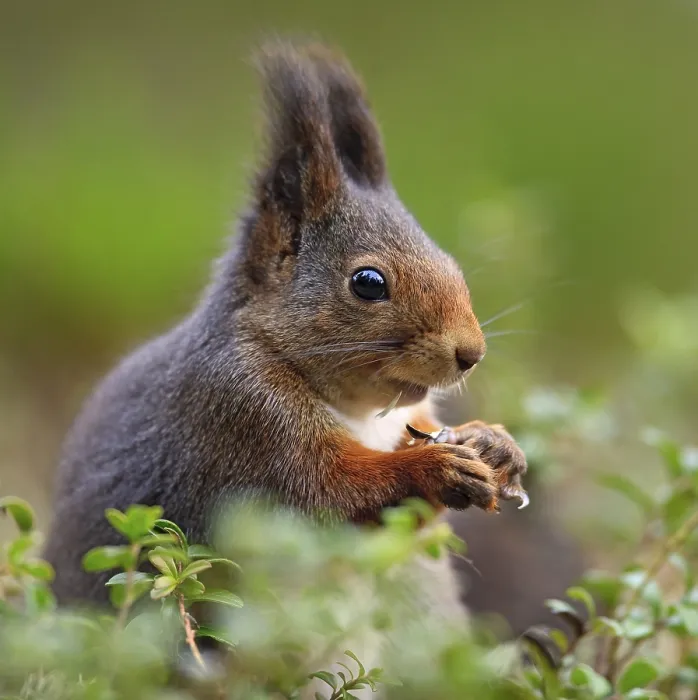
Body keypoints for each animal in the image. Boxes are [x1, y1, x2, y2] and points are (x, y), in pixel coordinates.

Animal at [44, 42, 528, 612]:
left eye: (451, 263)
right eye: (368, 283)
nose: (471, 354)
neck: (358, 410)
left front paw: (494, 442)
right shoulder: (240, 415)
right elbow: (327, 497)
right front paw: (436, 468)